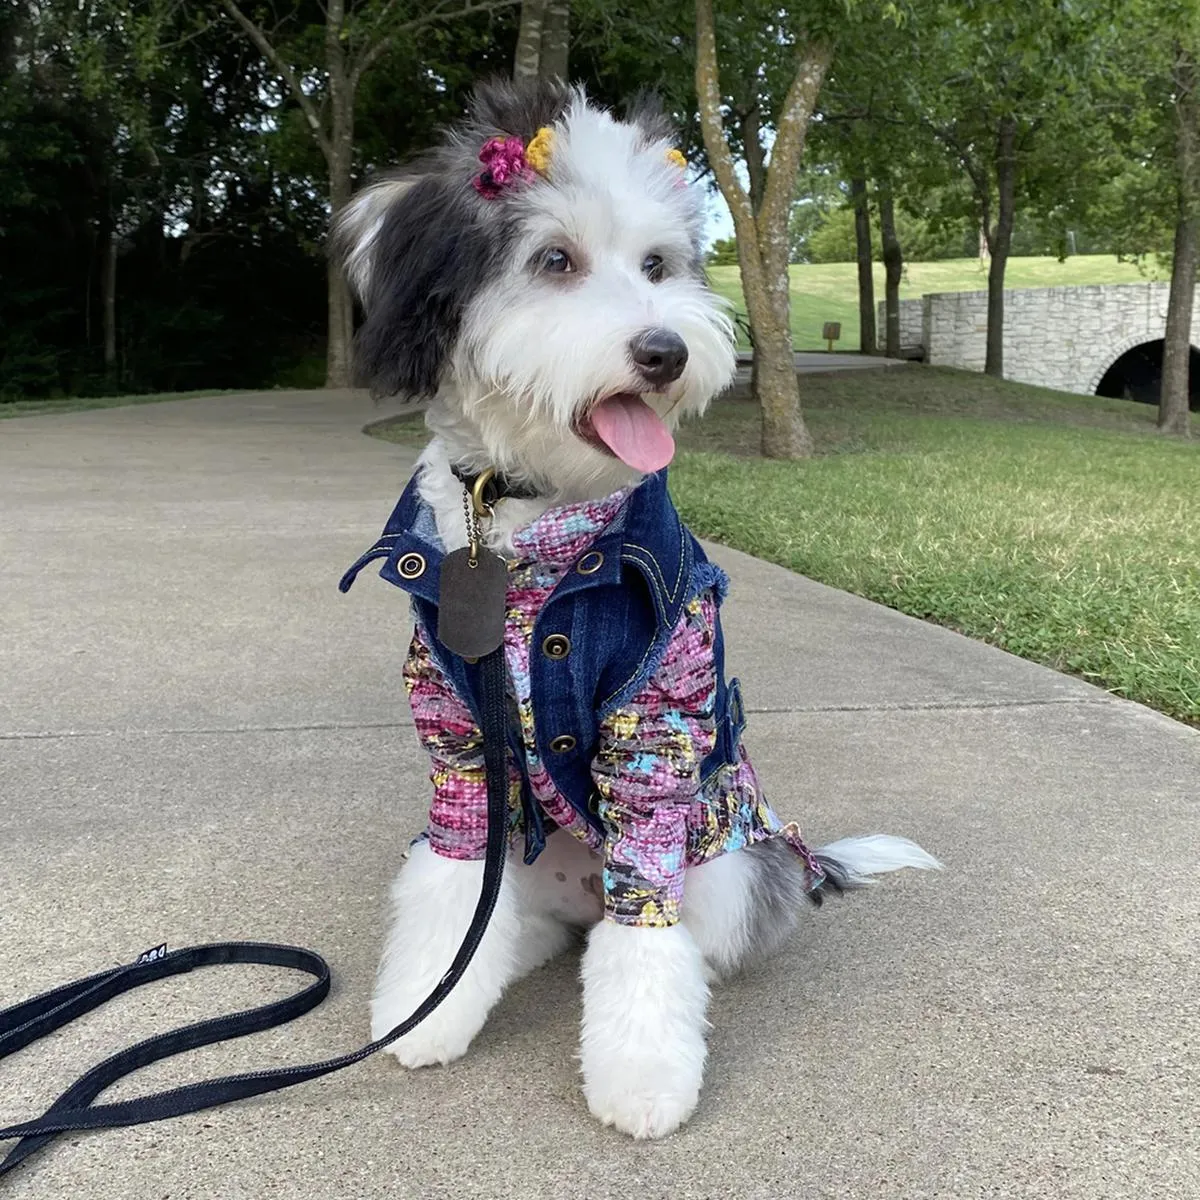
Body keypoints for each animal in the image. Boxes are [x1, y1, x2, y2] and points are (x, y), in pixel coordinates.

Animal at [336, 82, 936, 1132]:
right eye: (555, 260)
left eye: (658, 266)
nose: (666, 350)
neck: (527, 514)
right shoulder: (458, 734)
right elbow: (451, 886)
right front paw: (426, 1010)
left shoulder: (653, 730)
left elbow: (645, 937)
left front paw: (644, 1077)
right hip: (532, 859)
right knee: (517, 919)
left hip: (724, 869)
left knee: (676, 931)